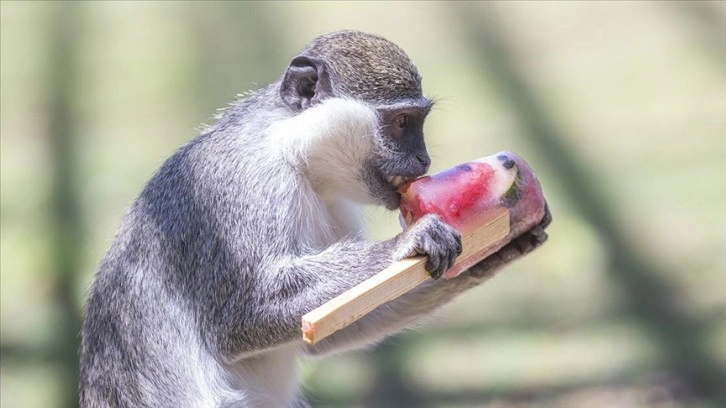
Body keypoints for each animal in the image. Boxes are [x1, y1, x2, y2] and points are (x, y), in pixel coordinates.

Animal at [79, 29, 552, 408]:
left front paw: (501, 246)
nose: (424, 161)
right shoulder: (238, 188)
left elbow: (342, 320)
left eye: (417, 122)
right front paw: (409, 242)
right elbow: (241, 319)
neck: (296, 155)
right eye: (403, 123)